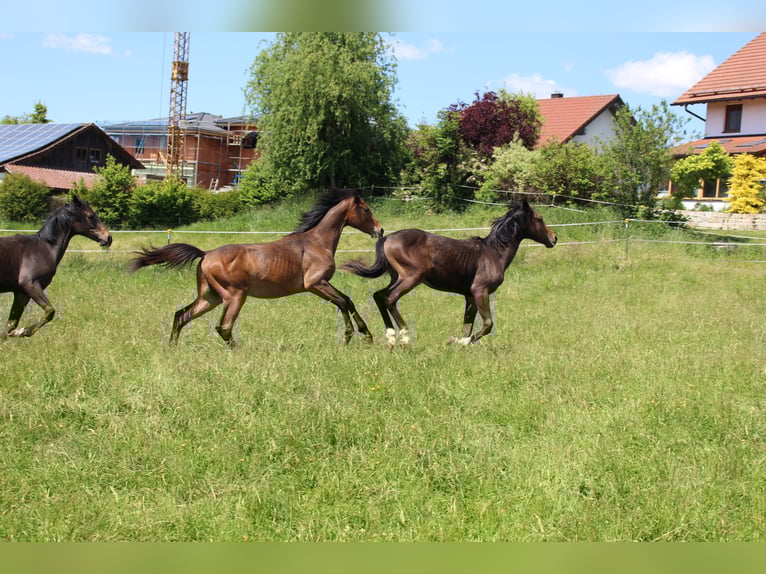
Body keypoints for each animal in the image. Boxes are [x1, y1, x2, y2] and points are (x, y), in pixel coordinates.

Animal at [0, 195, 112, 339]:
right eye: (91, 216)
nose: (108, 238)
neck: (43, 248)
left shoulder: (21, 293)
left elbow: (9, 326)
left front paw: (17, 332)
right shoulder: (30, 284)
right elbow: (50, 311)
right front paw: (23, 331)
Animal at [129, 188, 383, 347]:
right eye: (366, 209)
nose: (379, 230)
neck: (316, 243)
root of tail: (206, 254)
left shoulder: (322, 285)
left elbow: (347, 301)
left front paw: (364, 336)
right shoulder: (315, 284)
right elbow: (343, 302)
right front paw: (352, 336)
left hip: (210, 298)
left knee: (182, 315)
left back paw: (172, 348)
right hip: (234, 296)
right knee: (223, 327)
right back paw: (240, 352)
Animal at [340, 199, 557, 348]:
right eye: (540, 219)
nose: (554, 238)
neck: (494, 252)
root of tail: (386, 238)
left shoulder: (470, 296)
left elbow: (467, 325)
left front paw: (460, 344)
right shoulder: (480, 291)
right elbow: (487, 324)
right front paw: (457, 342)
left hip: (396, 277)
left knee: (379, 295)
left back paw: (391, 337)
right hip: (411, 277)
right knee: (389, 298)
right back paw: (404, 338)